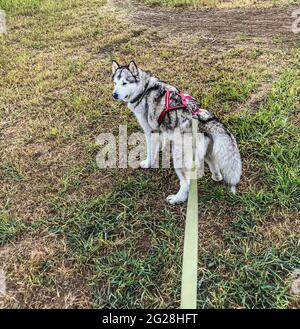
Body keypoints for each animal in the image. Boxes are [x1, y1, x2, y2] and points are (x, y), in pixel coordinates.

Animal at [111, 59, 243, 202]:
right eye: (115, 83)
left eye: (124, 83)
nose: (114, 95)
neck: (144, 89)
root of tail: (204, 118)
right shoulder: (160, 129)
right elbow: (160, 142)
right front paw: (161, 148)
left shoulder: (149, 131)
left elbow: (150, 151)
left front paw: (148, 163)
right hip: (208, 153)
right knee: (214, 165)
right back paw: (216, 177)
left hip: (179, 158)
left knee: (186, 184)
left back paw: (176, 199)